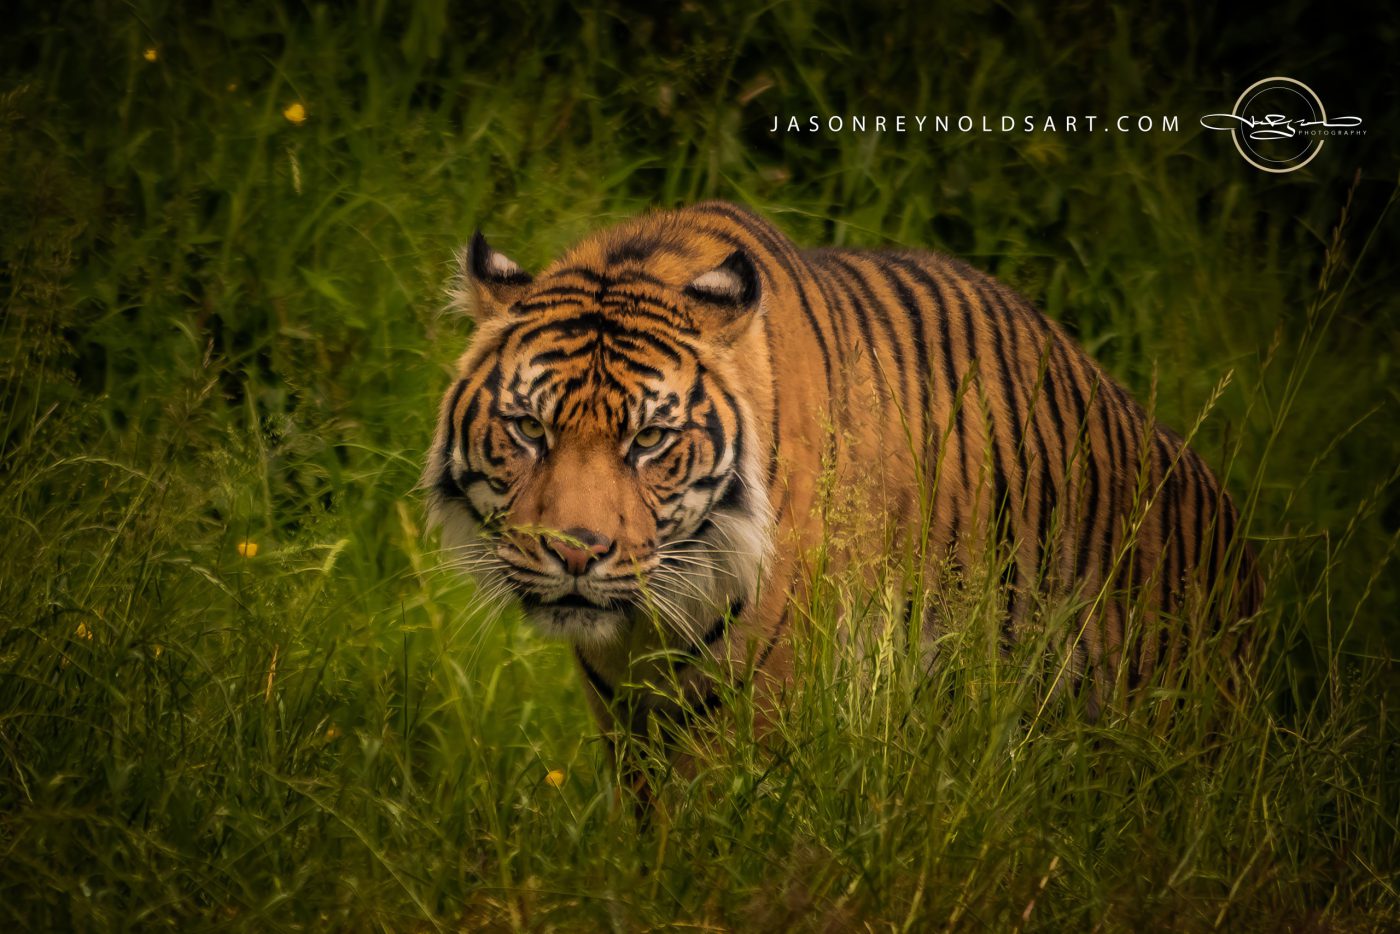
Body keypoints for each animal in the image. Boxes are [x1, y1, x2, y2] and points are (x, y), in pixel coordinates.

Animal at [423, 200, 1260, 774]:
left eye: (650, 440)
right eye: (529, 429)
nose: (574, 553)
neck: (644, 631)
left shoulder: (765, 700)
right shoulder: (626, 715)